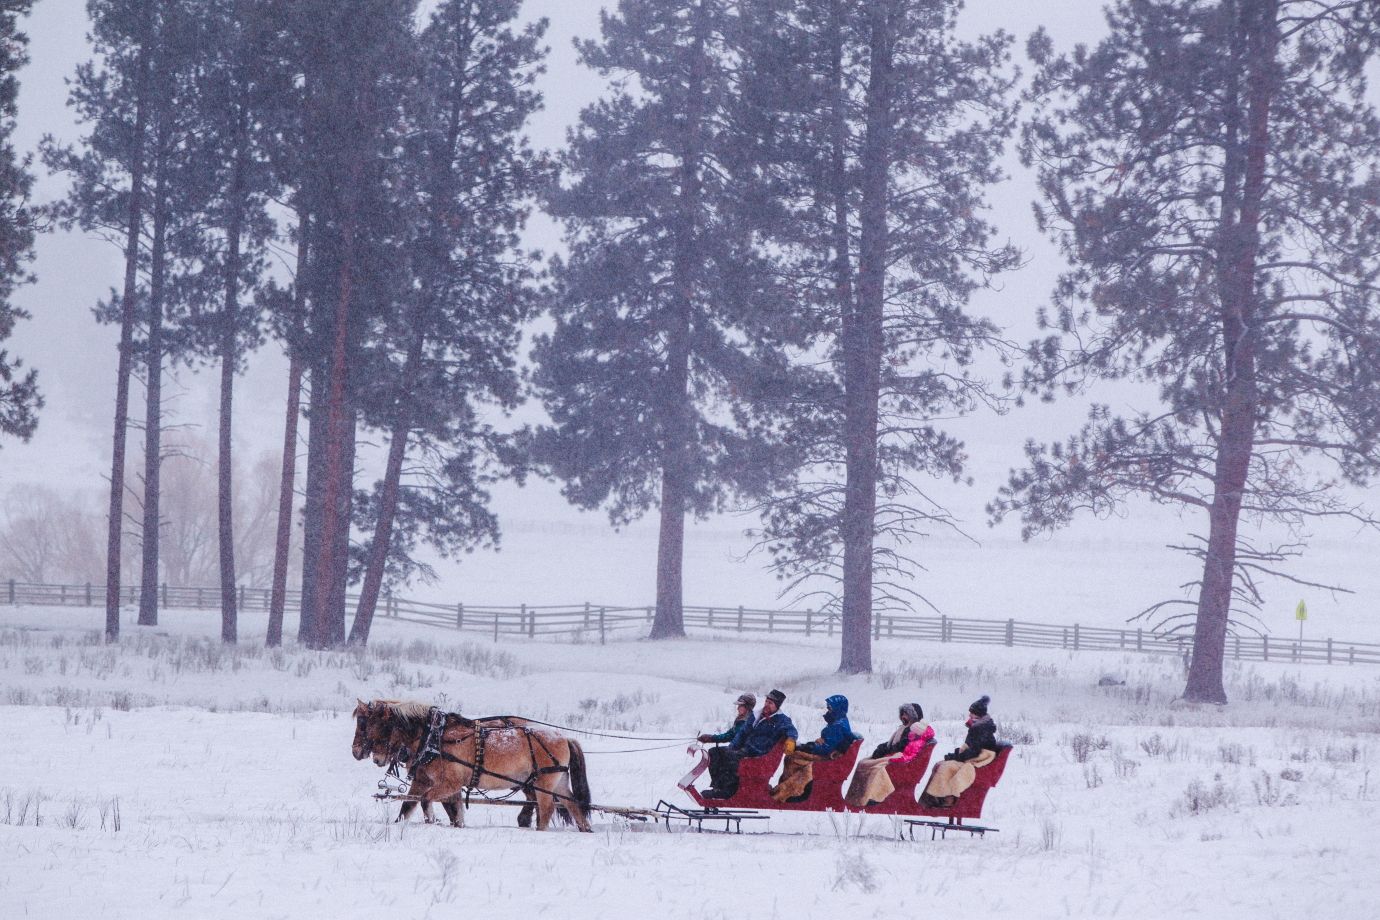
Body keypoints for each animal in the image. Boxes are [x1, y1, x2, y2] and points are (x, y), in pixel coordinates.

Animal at [378, 700, 593, 833]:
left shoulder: (450, 783)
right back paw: (586, 829)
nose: (378, 759)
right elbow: (449, 807)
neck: (437, 737)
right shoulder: (444, 784)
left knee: (547, 808)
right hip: (558, 780)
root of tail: (564, 737)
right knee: (572, 804)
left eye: (383, 726)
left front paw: (432, 820)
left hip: (544, 782)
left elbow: (425, 799)